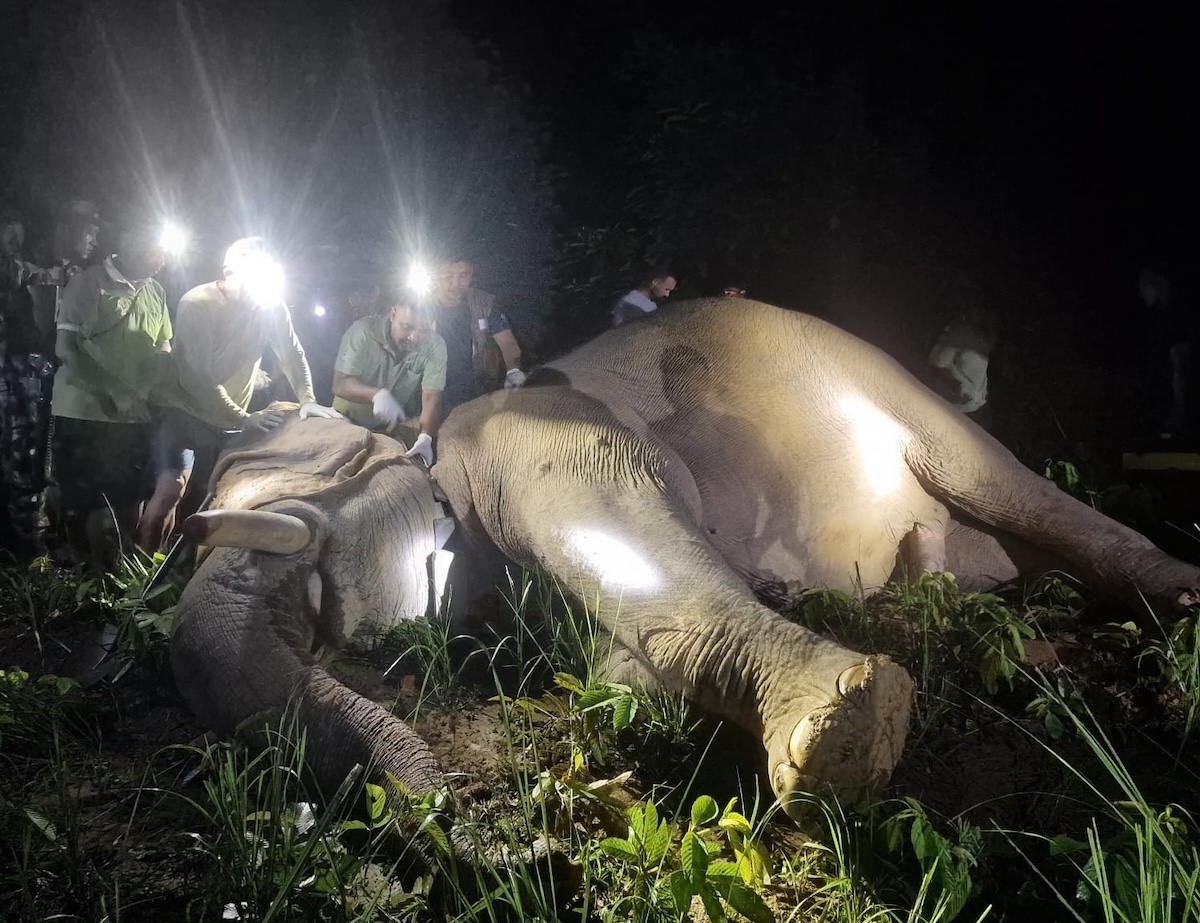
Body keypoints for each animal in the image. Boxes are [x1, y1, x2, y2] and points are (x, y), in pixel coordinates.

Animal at [170, 297, 1200, 819]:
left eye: (261, 450)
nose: (444, 809)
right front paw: (639, 683)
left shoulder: (529, 433)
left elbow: (626, 514)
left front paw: (847, 735)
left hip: (901, 396)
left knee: (1009, 482)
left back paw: (1177, 600)